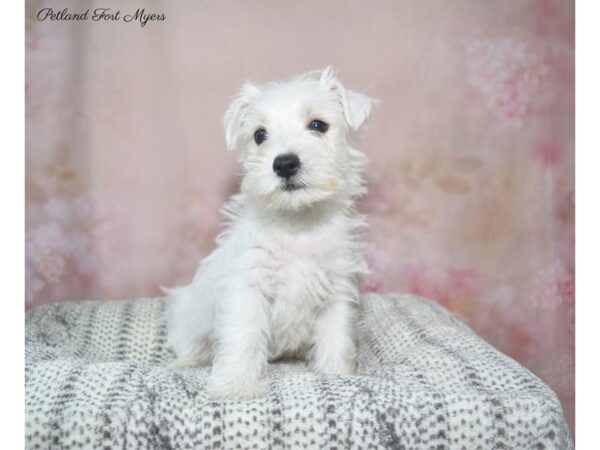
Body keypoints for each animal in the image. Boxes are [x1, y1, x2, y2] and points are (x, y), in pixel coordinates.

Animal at [166, 65, 378, 400]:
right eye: (259, 135)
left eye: (318, 125)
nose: (285, 163)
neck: (297, 224)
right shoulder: (248, 288)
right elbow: (245, 336)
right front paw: (236, 385)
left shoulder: (336, 290)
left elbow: (336, 337)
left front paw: (336, 373)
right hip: (187, 313)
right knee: (187, 342)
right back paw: (192, 359)